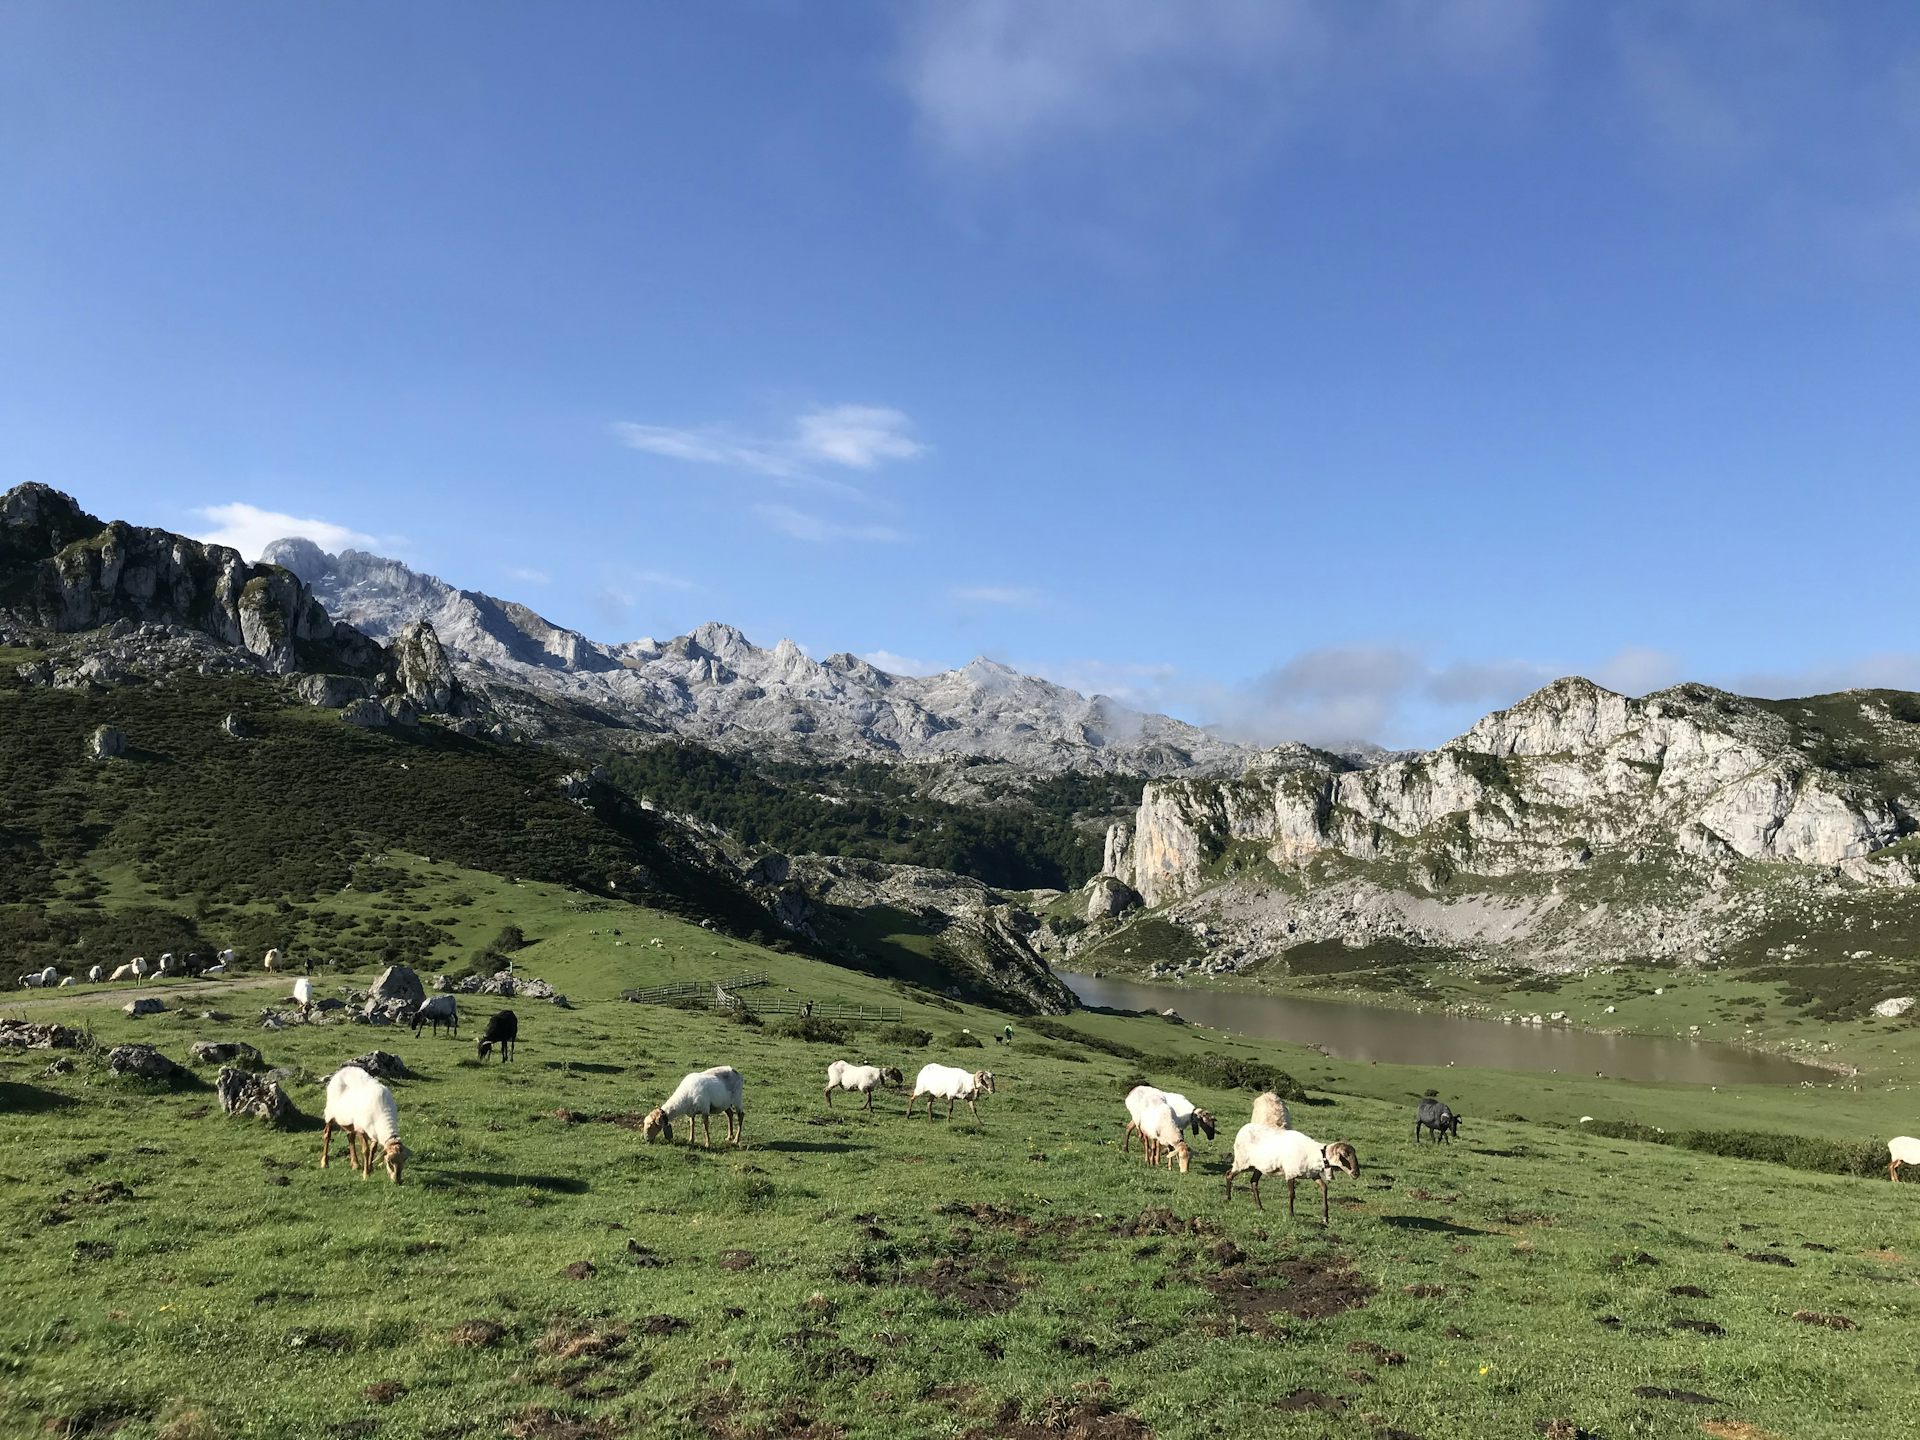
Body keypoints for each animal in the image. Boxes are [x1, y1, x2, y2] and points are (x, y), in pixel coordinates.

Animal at [1224, 1123, 1360, 1222]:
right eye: (1345, 1155)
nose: (1356, 1174)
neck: (1315, 1154)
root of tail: (1243, 1128)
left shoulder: (1313, 1175)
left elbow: (1324, 1188)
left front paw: (1325, 1217)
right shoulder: (1290, 1173)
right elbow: (1291, 1194)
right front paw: (1291, 1214)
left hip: (1258, 1166)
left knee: (1253, 1182)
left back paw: (1260, 1207)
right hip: (1242, 1162)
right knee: (1229, 1174)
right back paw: (1228, 1199)